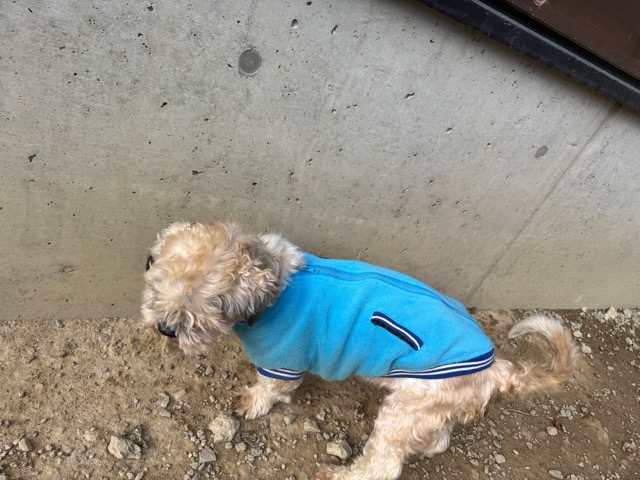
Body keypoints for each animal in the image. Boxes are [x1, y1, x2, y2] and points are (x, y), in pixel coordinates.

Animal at [141, 221, 578, 480]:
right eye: (156, 281)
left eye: (201, 309)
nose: (164, 329)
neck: (274, 279)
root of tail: (495, 368)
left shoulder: (281, 363)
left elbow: (270, 390)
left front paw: (252, 402)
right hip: (423, 408)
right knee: (438, 439)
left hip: (403, 412)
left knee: (381, 467)